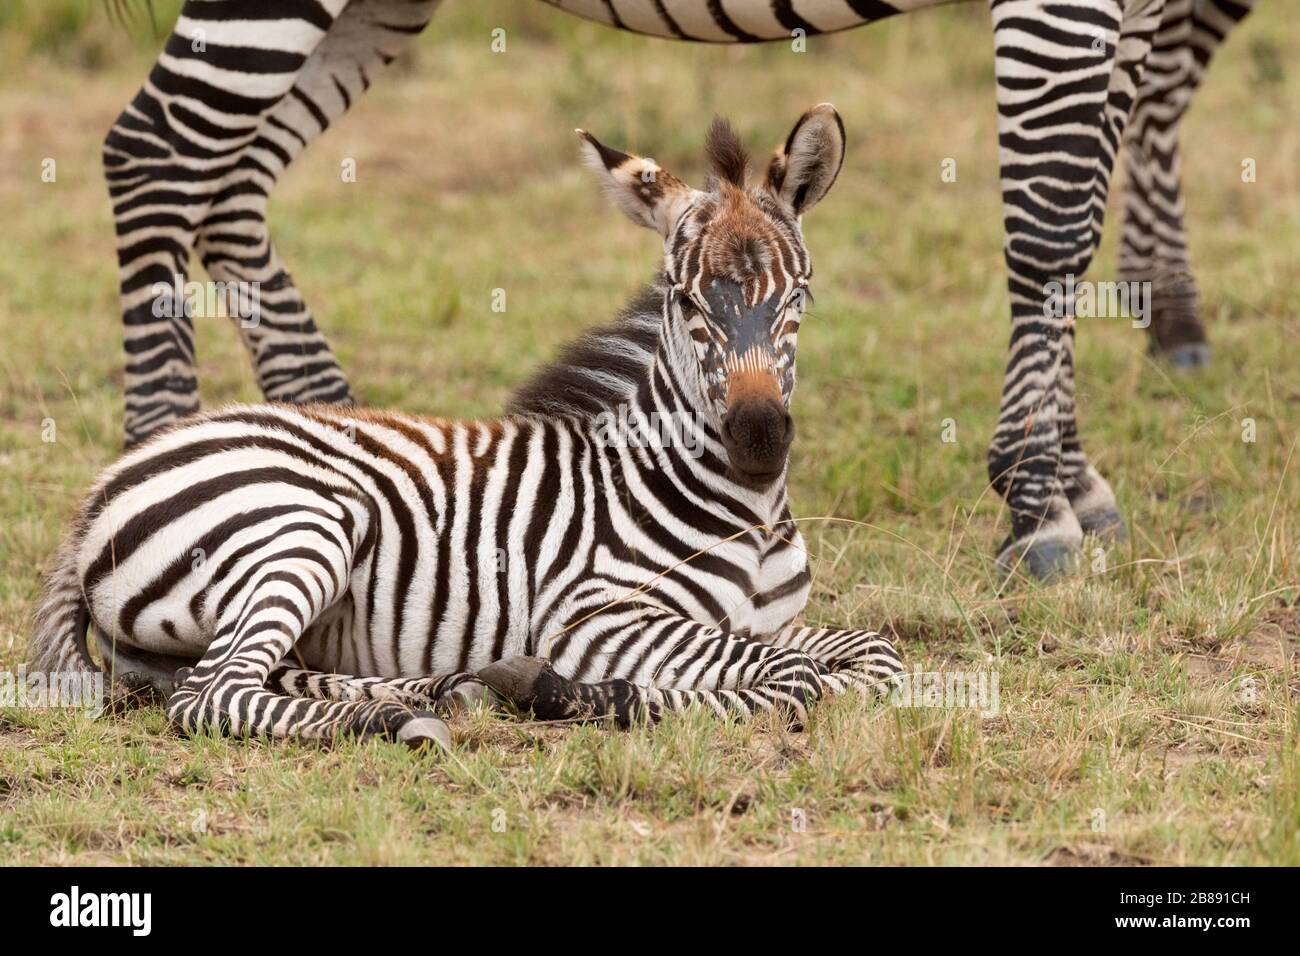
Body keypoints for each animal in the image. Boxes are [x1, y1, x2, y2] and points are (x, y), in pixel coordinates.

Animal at [33, 108, 905, 748]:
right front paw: (575, 693)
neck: (746, 515)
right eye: (685, 301)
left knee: (233, 675)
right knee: (212, 693)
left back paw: (442, 690)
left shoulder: (782, 623)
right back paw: (390, 717)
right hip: (302, 528)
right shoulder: (596, 619)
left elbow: (873, 657)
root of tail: (105, 485)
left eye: (799, 297)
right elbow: (790, 680)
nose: (759, 441)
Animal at [103, 0, 1258, 580]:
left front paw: (1071, 478)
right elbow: (1055, 214)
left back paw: (344, 442)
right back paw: (154, 469)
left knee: (231, 179)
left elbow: (1090, 185)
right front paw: (1033, 502)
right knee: (154, 152)